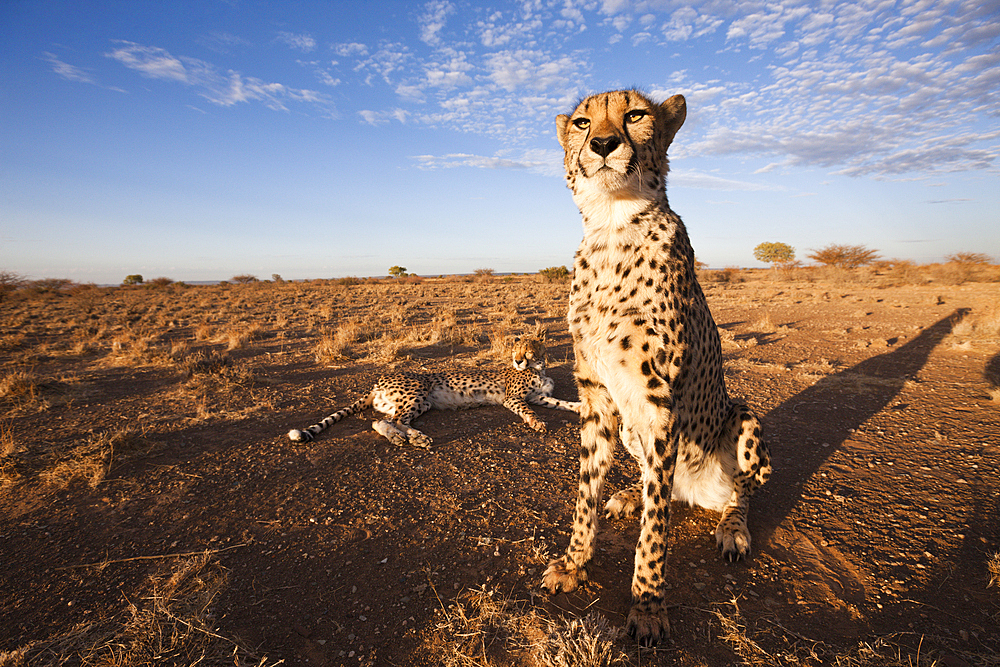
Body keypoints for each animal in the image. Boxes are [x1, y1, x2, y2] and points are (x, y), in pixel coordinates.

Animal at [286, 340, 580, 448]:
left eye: (527, 351)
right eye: (514, 351)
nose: (518, 361)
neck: (538, 368)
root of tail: (378, 381)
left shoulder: (539, 397)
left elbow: (561, 402)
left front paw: (578, 407)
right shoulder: (514, 399)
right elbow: (527, 410)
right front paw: (536, 422)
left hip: (420, 403)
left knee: (382, 420)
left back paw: (405, 438)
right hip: (416, 393)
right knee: (393, 420)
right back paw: (416, 438)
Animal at [544, 90, 768, 648]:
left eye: (636, 115)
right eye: (582, 122)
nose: (603, 144)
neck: (612, 226)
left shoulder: (658, 402)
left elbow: (654, 534)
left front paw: (647, 607)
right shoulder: (598, 397)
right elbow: (585, 493)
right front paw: (574, 563)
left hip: (744, 421)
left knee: (737, 494)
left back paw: (731, 528)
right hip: (631, 429)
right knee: (660, 487)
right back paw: (630, 495)